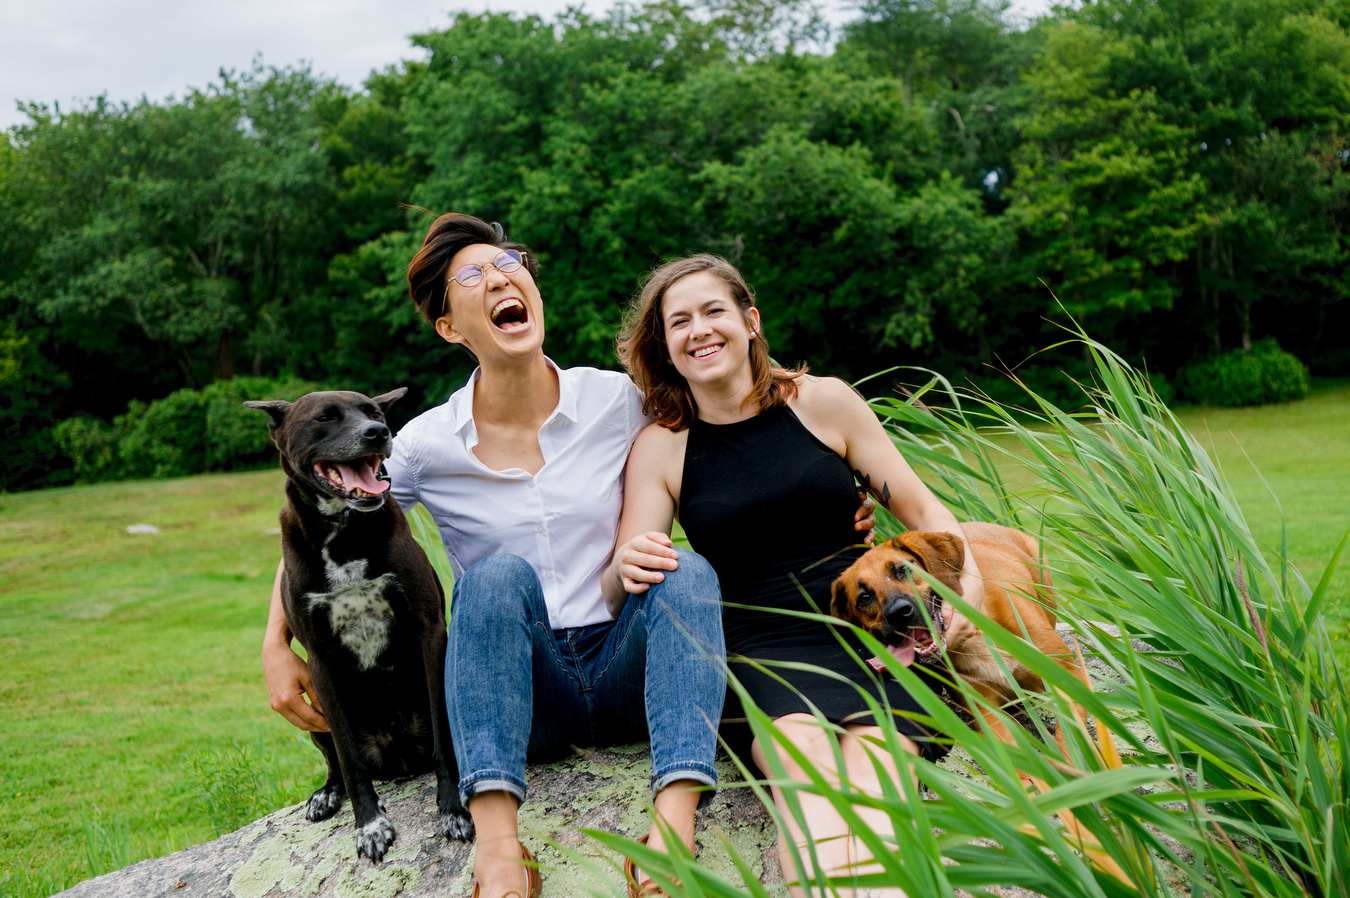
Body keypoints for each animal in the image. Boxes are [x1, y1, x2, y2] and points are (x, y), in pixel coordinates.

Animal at [247, 388, 475, 858]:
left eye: (373, 412)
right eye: (325, 417)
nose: (378, 433)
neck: (343, 531)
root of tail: (397, 759)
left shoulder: (429, 632)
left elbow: (445, 738)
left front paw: (453, 810)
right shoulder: (319, 661)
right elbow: (350, 761)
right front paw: (369, 824)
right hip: (314, 705)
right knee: (334, 757)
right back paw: (325, 794)